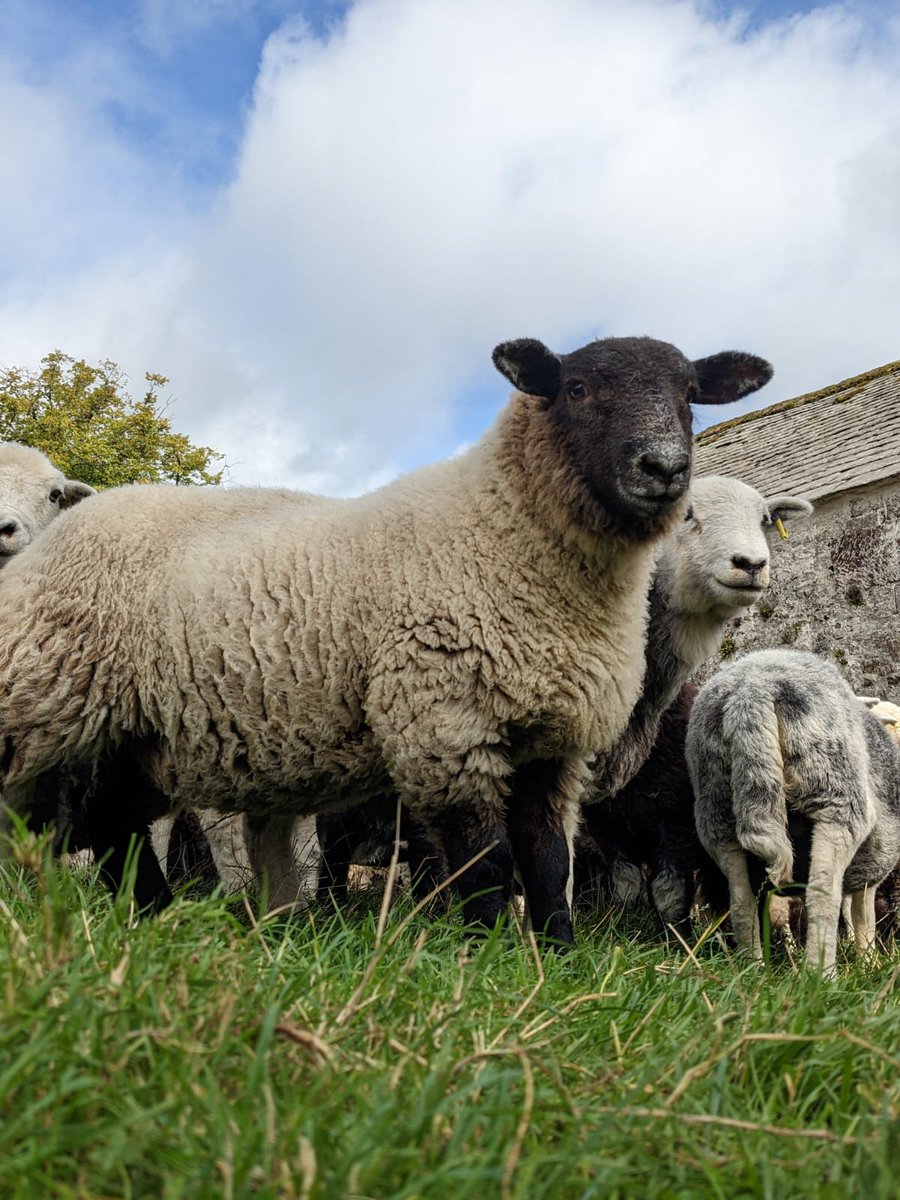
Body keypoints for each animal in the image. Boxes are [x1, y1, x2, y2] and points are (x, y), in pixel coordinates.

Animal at [0, 334, 773, 945]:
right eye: (577, 388)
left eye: (690, 396)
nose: (664, 468)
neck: (502, 533)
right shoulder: (444, 727)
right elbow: (484, 863)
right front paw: (486, 956)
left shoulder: (553, 742)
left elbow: (548, 862)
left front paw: (557, 955)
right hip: (46, 704)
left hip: (135, 735)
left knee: (115, 828)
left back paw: (158, 920)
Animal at [576, 476, 813, 940]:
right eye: (684, 514)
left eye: (765, 519)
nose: (751, 564)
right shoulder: (606, 819)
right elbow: (625, 885)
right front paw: (619, 932)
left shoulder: (676, 820)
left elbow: (667, 891)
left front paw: (673, 942)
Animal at [685, 648, 900, 975]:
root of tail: (752, 692)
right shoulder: (873, 865)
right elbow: (863, 917)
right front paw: (868, 962)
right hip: (835, 798)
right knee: (821, 895)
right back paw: (821, 975)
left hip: (717, 806)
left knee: (742, 902)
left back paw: (755, 970)